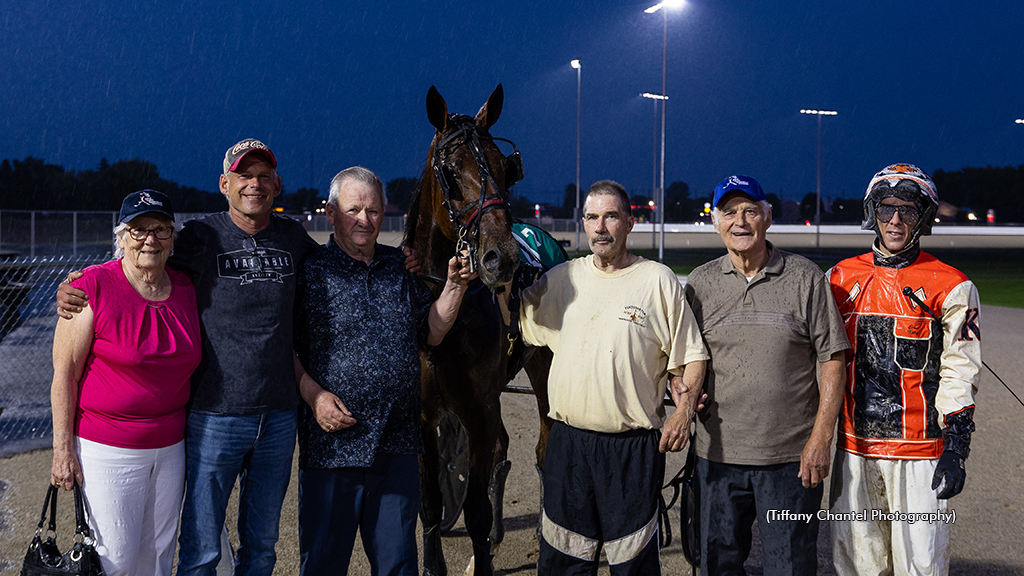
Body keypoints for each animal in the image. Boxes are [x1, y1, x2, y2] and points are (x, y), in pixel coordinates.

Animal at [403, 85, 557, 573]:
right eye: (451, 172)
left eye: (506, 167)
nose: (502, 258)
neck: (441, 313)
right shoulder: (424, 413)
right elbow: (431, 503)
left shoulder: (480, 409)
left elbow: (475, 509)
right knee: (503, 454)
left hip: (543, 373)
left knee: (543, 450)